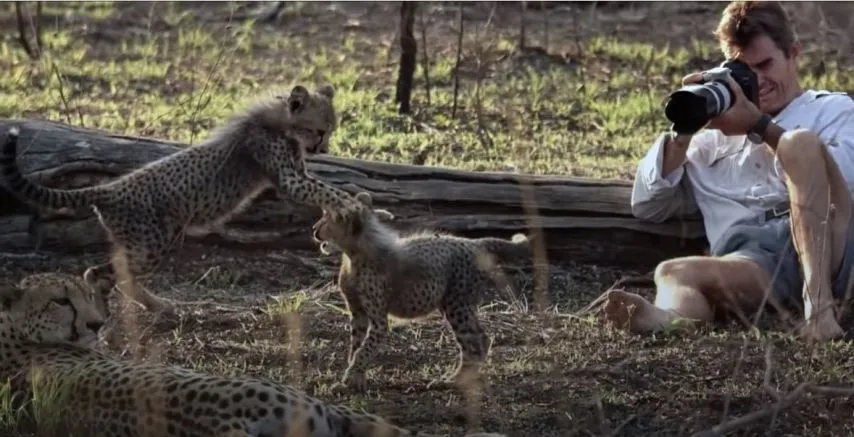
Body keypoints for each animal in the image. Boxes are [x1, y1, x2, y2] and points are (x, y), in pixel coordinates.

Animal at [0, 84, 362, 316]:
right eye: (319, 130)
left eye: (330, 130)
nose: (324, 148)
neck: (282, 122)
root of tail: (111, 188)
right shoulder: (289, 178)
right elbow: (326, 189)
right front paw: (355, 204)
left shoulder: (297, 173)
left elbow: (324, 189)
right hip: (151, 243)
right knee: (99, 274)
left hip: (146, 241)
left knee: (116, 275)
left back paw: (159, 306)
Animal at [310, 192, 540, 390]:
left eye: (328, 219)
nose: (314, 229)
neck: (354, 253)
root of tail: (473, 242)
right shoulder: (357, 313)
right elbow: (356, 346)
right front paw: (355, 379)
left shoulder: (378, 320)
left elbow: (364, 349)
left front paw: (350, 378)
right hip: (458, 304)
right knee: (482, 338)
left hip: (457, 305)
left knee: (472, 342)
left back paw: (453, 380)